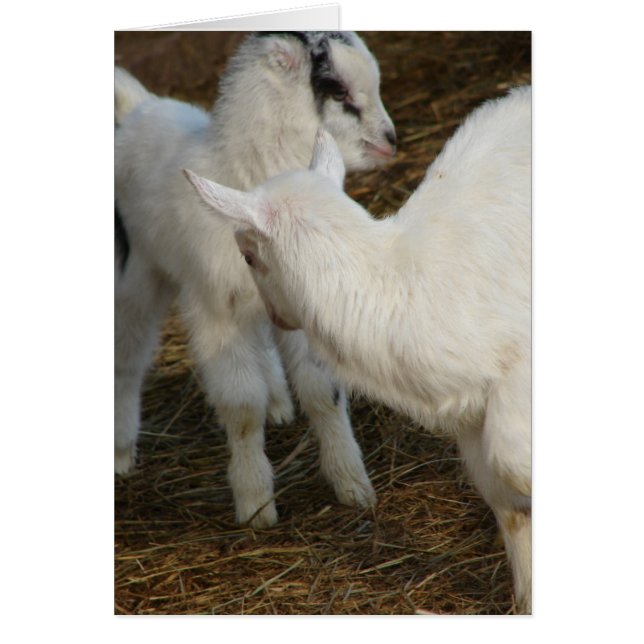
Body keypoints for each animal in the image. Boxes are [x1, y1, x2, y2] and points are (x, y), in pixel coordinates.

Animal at [115, 32, 396, 528]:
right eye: (336, 88)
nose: (391, 142)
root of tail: (141, 106)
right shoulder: (216, 308)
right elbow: (242, 407)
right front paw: (255, 505)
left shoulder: (300, 306)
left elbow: (323, 391)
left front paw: (352, 485)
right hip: (139, 271)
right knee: (128, 354)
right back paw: (122, 453)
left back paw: (279, 403)